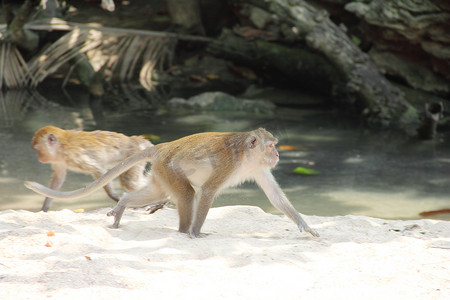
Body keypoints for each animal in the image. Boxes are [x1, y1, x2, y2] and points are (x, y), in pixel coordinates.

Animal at [30, 125, 167, 212]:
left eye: (38, 149)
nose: (39, 157)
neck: (61, 146)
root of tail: (136, 139)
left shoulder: (73, 155)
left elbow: (98, 170)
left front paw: (115, 197)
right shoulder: (59, 161)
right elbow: (58, 178)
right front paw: (44, 208)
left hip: (134, 152)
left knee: (129, 182)